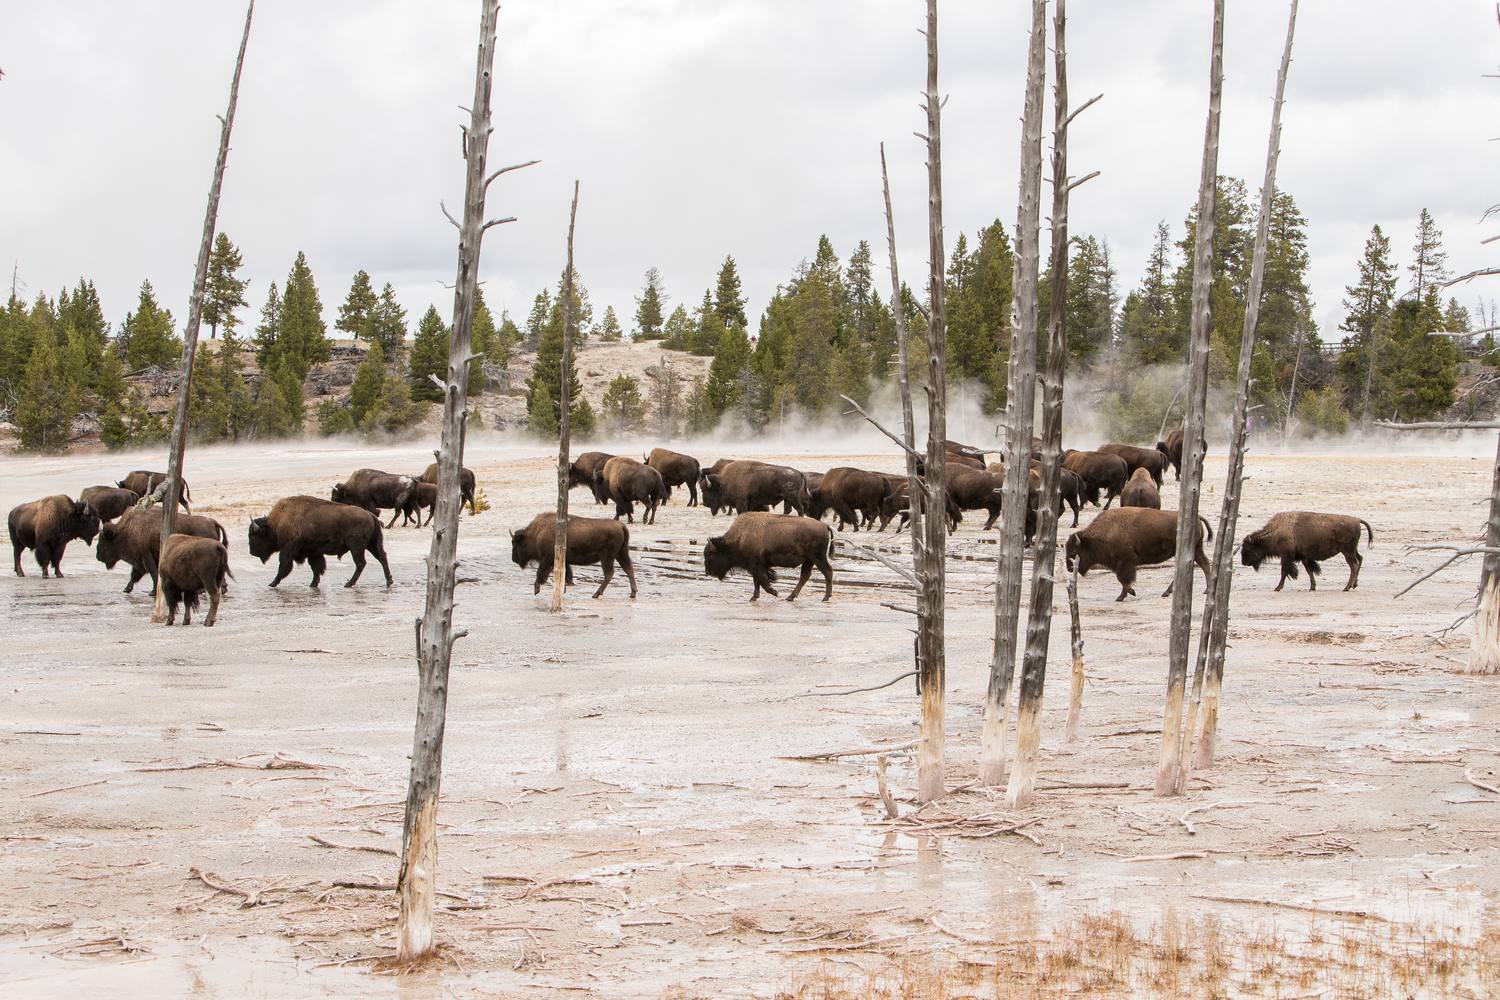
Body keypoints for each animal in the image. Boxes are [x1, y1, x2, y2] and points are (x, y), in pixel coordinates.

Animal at [248, 495, 393, 588]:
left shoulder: (288, 550)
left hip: (356, 548)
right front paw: (313, 584)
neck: (277, 523)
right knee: (382, 557)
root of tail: (371, 515)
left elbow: (283, 567)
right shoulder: (314, 552)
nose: (251, 552)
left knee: (361, 563)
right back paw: (389, 581)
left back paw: (349, 584)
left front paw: (272, 583)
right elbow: (317, 568)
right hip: (372, 545)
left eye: (253, 537)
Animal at [703, 512, 834, 602]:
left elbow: (762, 581)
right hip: (809, 560)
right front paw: (753, 598)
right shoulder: (755, 567)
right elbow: (757, 582)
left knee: (827, 572)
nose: (708, 572)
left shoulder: (756, 566)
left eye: (710, 555)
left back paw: (825, 598)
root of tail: (825, 525)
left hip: (817, 558)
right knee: (805, 576)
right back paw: (790, 597)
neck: (740, 538)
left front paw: (774, 592)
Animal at [1065, 507, 1212, 601]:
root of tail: (1197, 517)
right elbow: (1122, 580)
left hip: (1192, 550)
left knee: (1202, 565)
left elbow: (1122, 579)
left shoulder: (1125, 562)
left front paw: (1126, 594)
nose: (1069, 568)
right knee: (1204, 565)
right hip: (1196, 550)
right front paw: (1124, 595)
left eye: (1074, 552)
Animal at [1240, 512, 1374, 592]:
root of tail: (1357, 520)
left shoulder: (1286, 557)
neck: (1277, 531)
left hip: (1347, 552)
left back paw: (1346, 587)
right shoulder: (1304, 557)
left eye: (1248, 548)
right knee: (1360, 559)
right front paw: (1312, 587)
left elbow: (1284, 571)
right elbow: (1310, 571)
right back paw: (1353, 585)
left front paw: (1277, 588)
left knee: (1354, 565)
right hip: (1352, 551)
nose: (1243, 562)